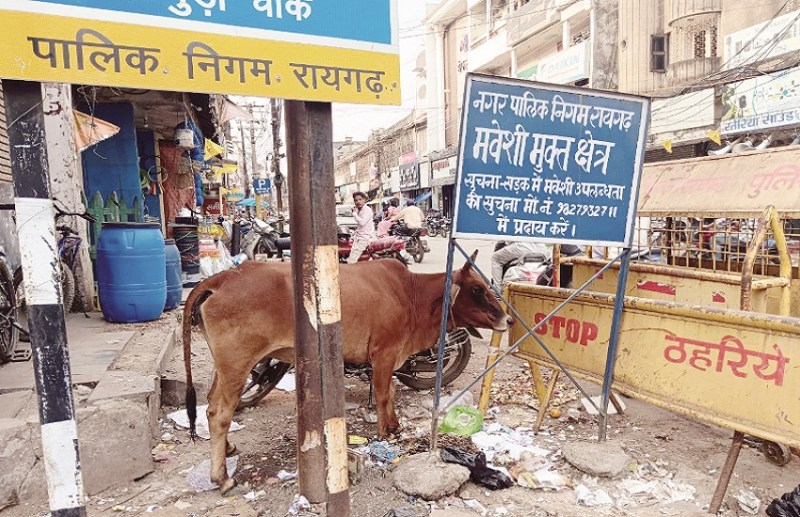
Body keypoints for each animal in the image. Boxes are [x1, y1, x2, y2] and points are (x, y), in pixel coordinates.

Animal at [182, 251, 512, 493]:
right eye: (477, 289)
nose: (508, 320)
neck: (412, 296)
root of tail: (224, 278)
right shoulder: (384, 355)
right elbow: (383, 393)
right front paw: (385, 432)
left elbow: (392, 392)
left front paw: (395, 425)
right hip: (237, 364)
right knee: (219, 413)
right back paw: (221, 476)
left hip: (225, 367)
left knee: (211, 404)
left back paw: (228, 449)